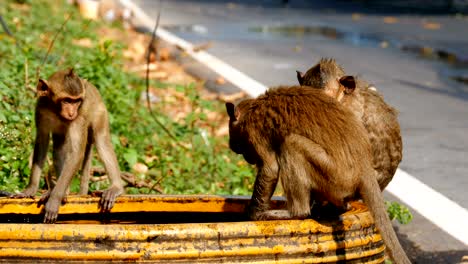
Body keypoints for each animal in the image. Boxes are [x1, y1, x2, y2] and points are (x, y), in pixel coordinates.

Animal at [15, 68, 123, 223]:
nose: (72, 112)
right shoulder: (40, 108)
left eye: (77, 101)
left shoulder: (79, 116)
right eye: (67, 100)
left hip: (100, 112)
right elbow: (42, 142)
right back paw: (62, 191)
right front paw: (31, 189)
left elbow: (76, 153)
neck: (56, 111)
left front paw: (54, 199)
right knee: (59, 146)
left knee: (102, 140)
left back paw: (116, 187)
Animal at [227, 85, 410, 264]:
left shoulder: (255, 131)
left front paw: (253, 214)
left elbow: (270, 169)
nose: (247, 158)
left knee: (291, 144)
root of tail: (365, 165)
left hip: (335, 177)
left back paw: (296, 213)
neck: (253, 108)